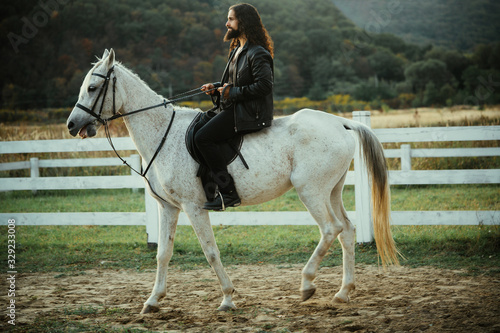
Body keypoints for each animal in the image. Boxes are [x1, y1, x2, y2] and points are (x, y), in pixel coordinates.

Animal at [67, 48, 398, 312]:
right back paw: (343, 293)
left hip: (311, 192)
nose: (72, 125)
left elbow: (210, 252)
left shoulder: (194, 207)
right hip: (332, 191)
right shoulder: (169, 208)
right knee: (347, 231)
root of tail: (341, 123)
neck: (164, 133)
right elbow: (163, 253)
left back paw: (307, 284)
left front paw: (227, 298)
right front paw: (152, 301)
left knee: (331, 229)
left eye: (93, 87)